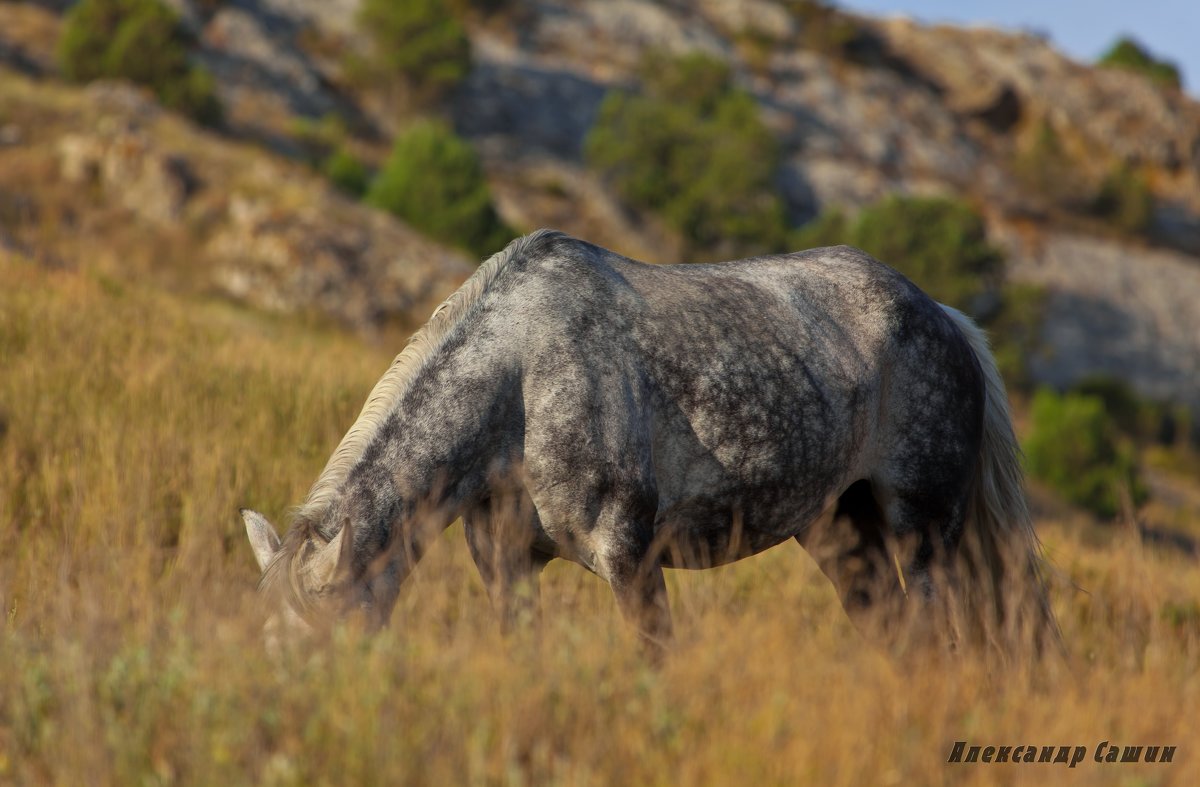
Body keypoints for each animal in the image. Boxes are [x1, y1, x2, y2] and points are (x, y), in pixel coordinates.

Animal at [241, 227, 1051, 652]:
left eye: (316, 640)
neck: (524, 379)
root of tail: (945, 316)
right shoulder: (506, 564)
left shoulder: (631, 560)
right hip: (839, 530)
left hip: (924, 531)